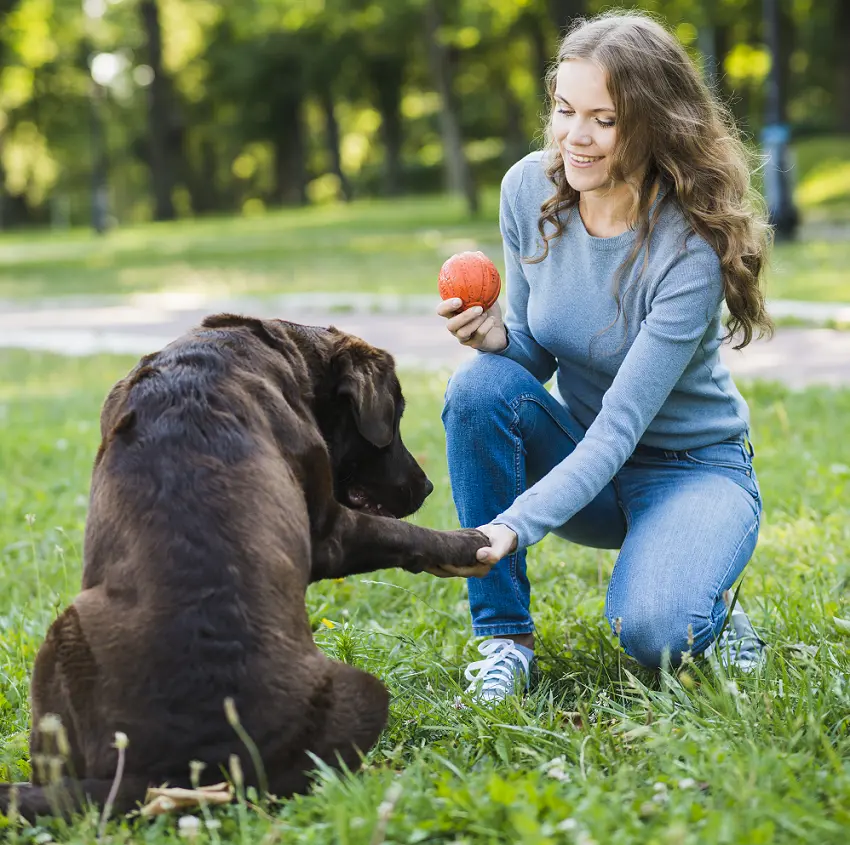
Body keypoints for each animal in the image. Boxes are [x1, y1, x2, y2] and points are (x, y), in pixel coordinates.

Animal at [0, 312, 486, 816]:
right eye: (397, 414)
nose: (427, 486)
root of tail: (171, 771)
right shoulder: (327, 531)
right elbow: (399, 534)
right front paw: (466, 543)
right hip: (363, 691)